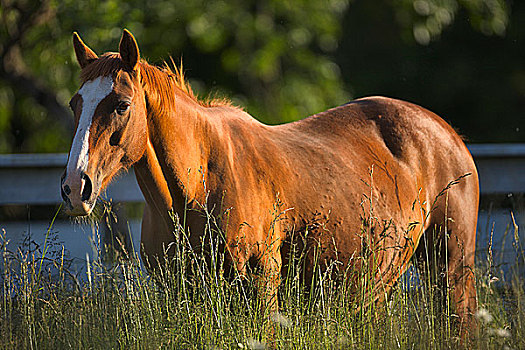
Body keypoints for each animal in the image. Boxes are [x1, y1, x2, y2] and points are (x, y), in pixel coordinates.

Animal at [61, 29, 478, 334]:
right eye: (74, 104)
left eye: (121, 105)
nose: (75, 187)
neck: (196, 191)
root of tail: (447, 134)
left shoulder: (261, 287)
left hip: (451, 270)